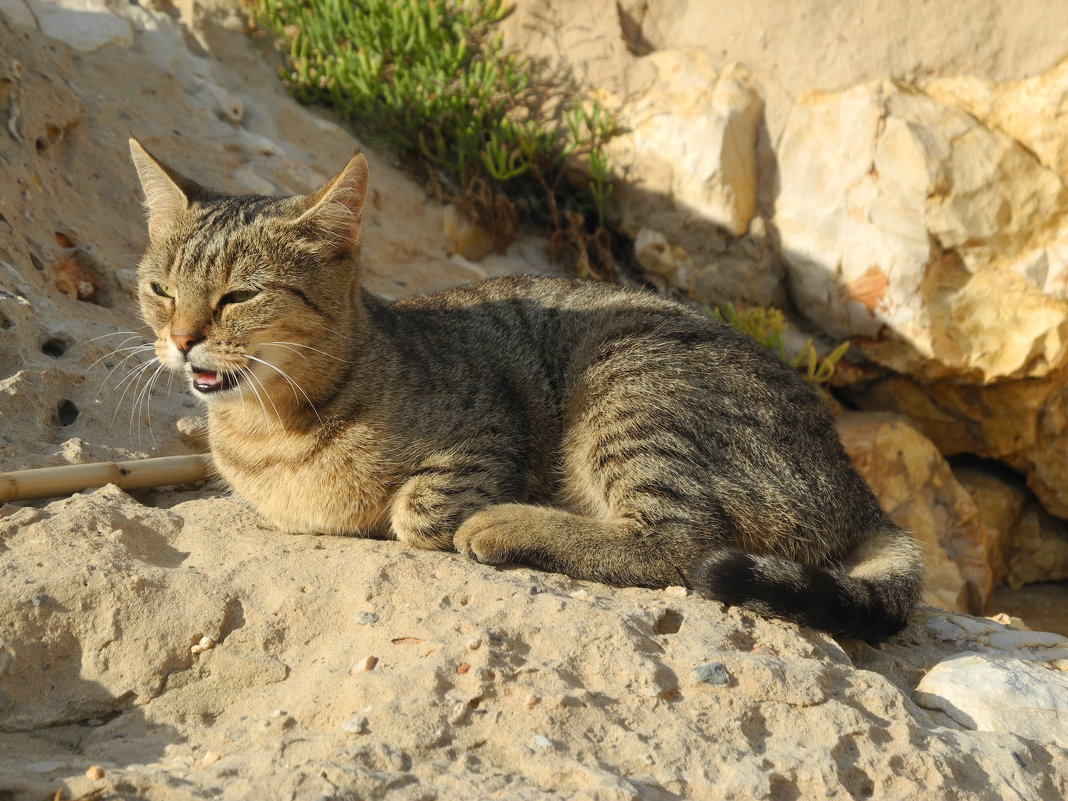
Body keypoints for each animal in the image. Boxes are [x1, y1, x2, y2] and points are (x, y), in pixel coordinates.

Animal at [129, 137, 922, 640]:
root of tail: (860, 490)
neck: (269, 426)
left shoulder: (488, 425)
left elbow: (418, 511)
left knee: (680, 541)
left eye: (239, 295)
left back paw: (508, 524)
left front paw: (443, 514)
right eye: (160, 290)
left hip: (629, 383)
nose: (182, 339)